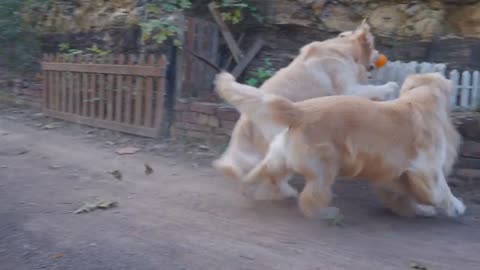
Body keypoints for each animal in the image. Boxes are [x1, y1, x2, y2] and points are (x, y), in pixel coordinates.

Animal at [214, 22, 398, 191]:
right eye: (374, 47)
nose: (381, 55)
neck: (344, 50)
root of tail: (244, 122)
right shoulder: (348, 89)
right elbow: (371, 89)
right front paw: (390, 87)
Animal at [217, 72, 464, 219]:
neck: (420, 99)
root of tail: (300, 111)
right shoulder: (427, 169)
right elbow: (441, 190)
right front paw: (456, 206)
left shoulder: (392, 172)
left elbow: (402, 194)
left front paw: (417, 209)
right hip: (325, 165)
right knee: (310, 197)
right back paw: (326, 213)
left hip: (280, 158)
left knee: (262, 174)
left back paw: (254, 189)